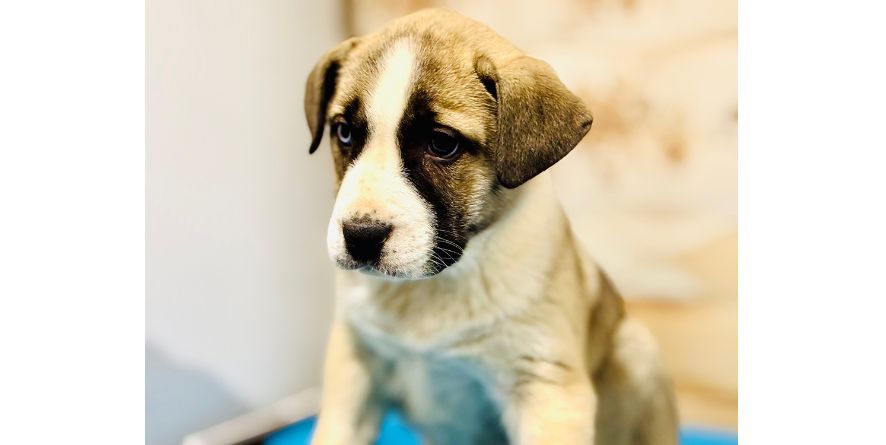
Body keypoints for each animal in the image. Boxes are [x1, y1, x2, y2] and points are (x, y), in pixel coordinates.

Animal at [304, 9, 678, 445]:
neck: (432, 288)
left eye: (442, 143)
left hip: (638, 350)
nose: (360, 237)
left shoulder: (544, 386)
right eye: (344, 132)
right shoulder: (355, 365)